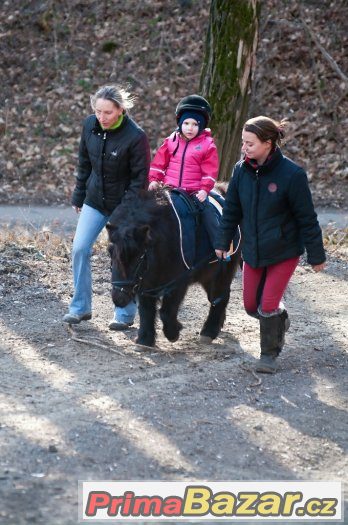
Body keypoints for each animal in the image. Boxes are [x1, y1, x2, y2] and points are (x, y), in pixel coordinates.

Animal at [107, 189, 241, 348]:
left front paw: (173, 333)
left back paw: (209, 332)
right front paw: (145, 340)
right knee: (216, 298)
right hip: (208, 276)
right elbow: (146, 310)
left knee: (221, 297)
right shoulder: (145, 282)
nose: (118, 299)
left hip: (222, 272)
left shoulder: (178, 282)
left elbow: (166, 312)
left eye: (138, 256)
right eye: (110, 253)